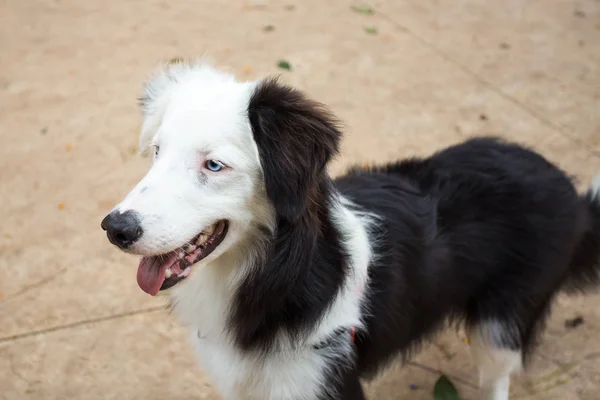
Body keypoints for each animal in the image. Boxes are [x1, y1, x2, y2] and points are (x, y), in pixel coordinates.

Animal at [102, 61, 600, 400]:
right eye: (158, 152)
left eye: (213, 165)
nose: (114, 228)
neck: (275, 272)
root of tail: (570, 191)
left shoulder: (326, 378)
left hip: (501, 321)